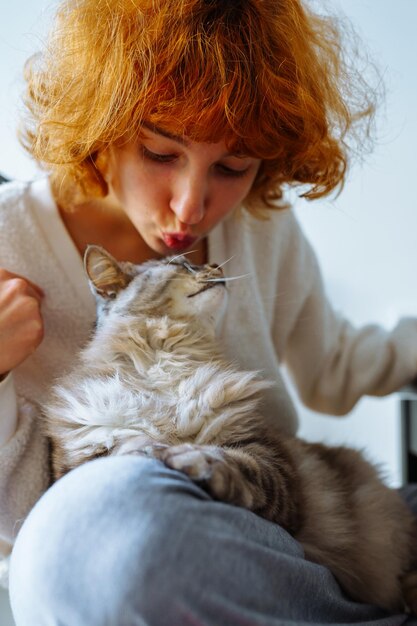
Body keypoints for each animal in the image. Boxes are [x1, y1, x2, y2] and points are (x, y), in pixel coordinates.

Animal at [44, 246, 416, 612]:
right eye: (180, 264)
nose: (213, 265)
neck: (167, 362)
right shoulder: (81, 455)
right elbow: (128, 446)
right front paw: (155, 448)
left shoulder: (264, 457)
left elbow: (232, 463)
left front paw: (189, 459)